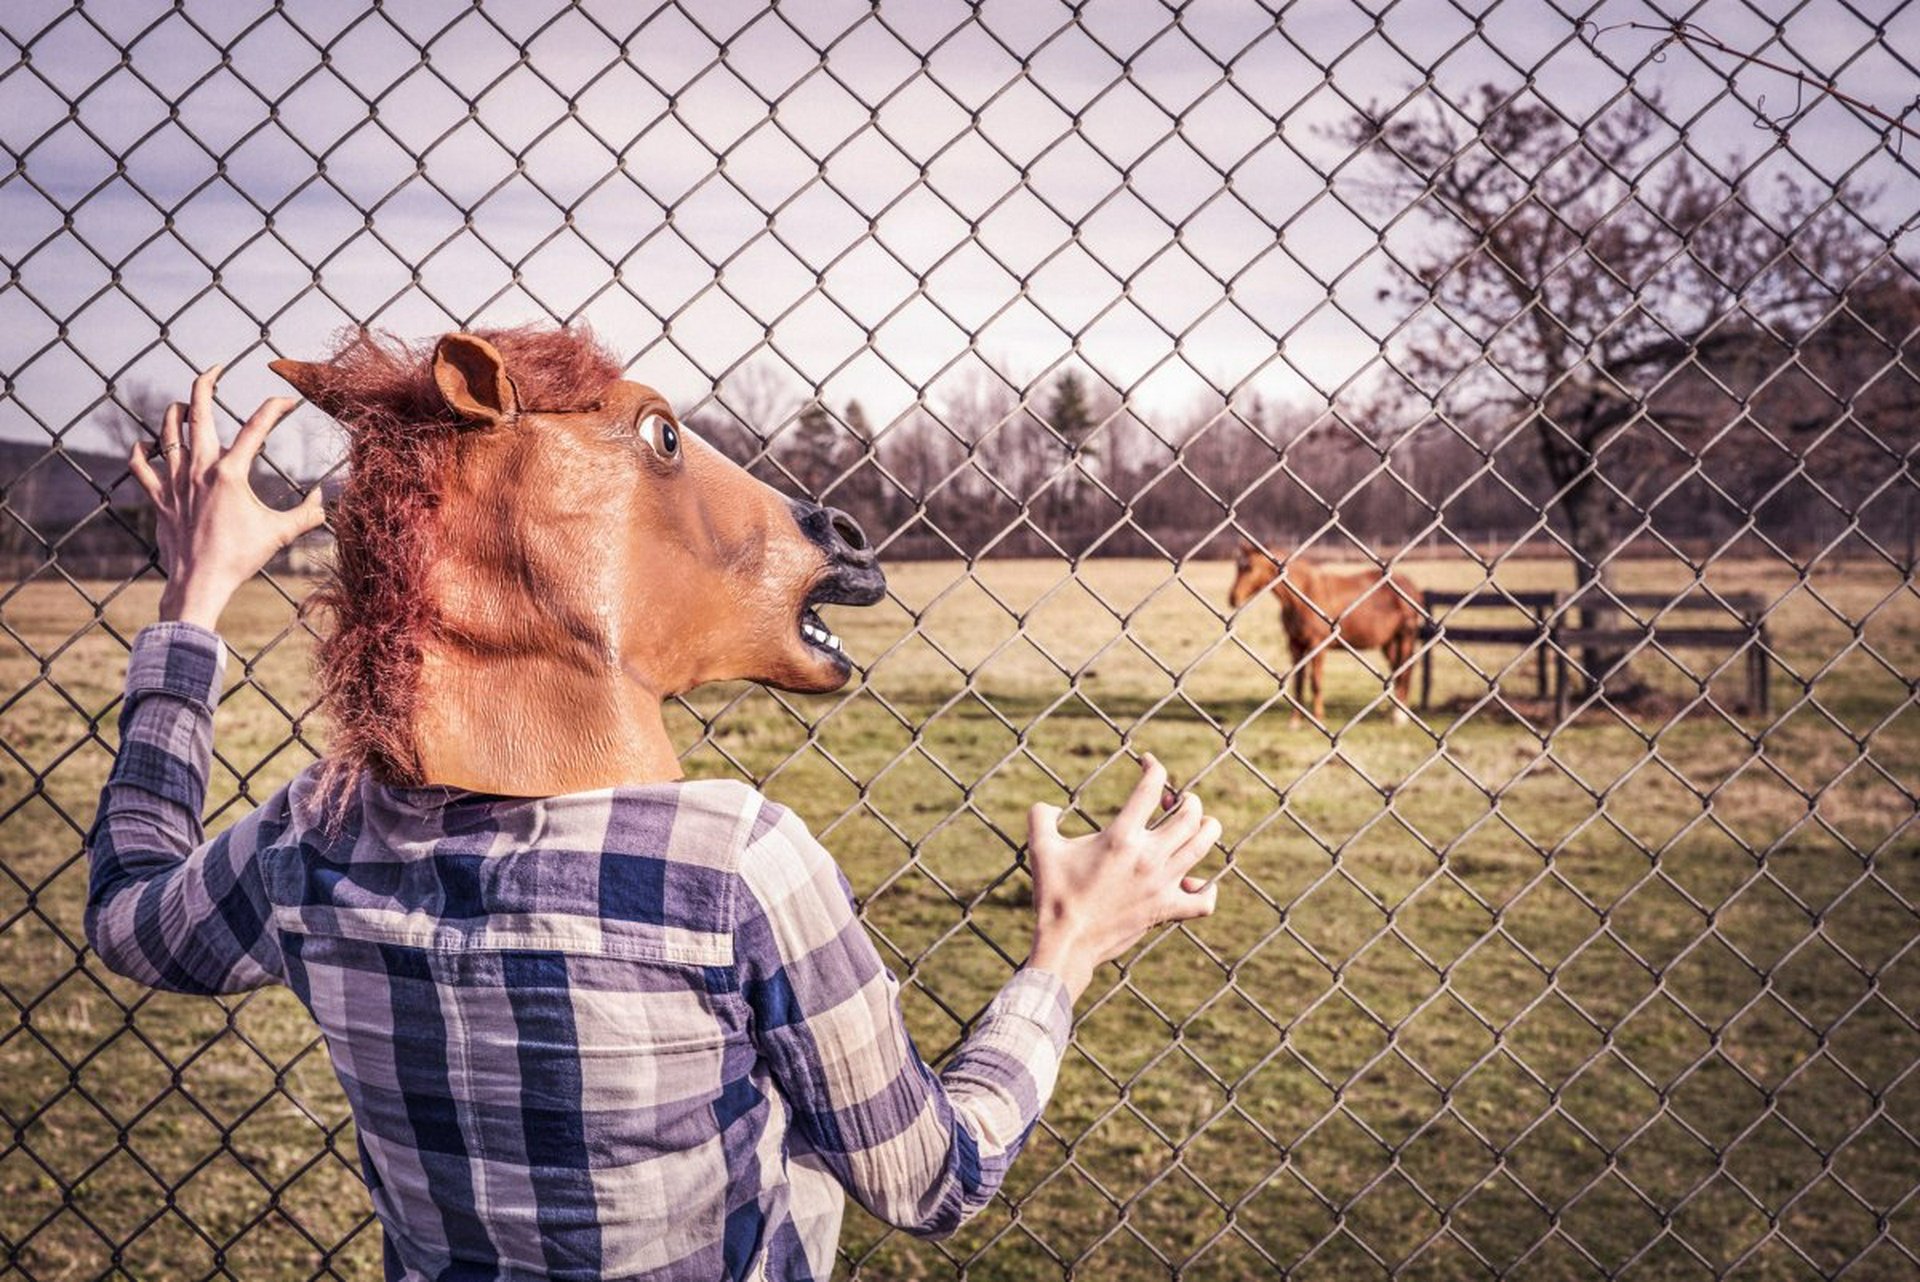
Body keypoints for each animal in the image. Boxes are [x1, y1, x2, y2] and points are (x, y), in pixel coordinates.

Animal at [1228, 537, 1428, 725]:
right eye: (1238, 567)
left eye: (1250, 568)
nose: (1233, 598)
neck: (1303, 595)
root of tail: (1413, 589)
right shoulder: (1295, 644)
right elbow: (1298, 681)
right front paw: (1295, 721)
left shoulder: (1317, 645)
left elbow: (1315, 682)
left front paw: (1317, 717)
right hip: (1389, 642)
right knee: (1397, 670)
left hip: (1405, 637)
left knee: (1405, 672)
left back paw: (1399, 717)